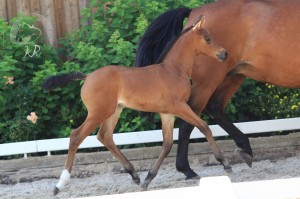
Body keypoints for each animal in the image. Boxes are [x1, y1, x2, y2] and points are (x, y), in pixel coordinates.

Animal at [43, 16, 229, 194]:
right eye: (207, 38)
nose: (224, 54)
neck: (174, 70)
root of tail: (88, 77)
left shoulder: (167, 113)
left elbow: (167, 144)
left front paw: (148, 178)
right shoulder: (179, 107)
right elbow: (204, 127)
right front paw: (225, 162)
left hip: (113, 112)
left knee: (105, 136)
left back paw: (134, 175)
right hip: (98, 113)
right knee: (76, 136)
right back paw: (59, 185)